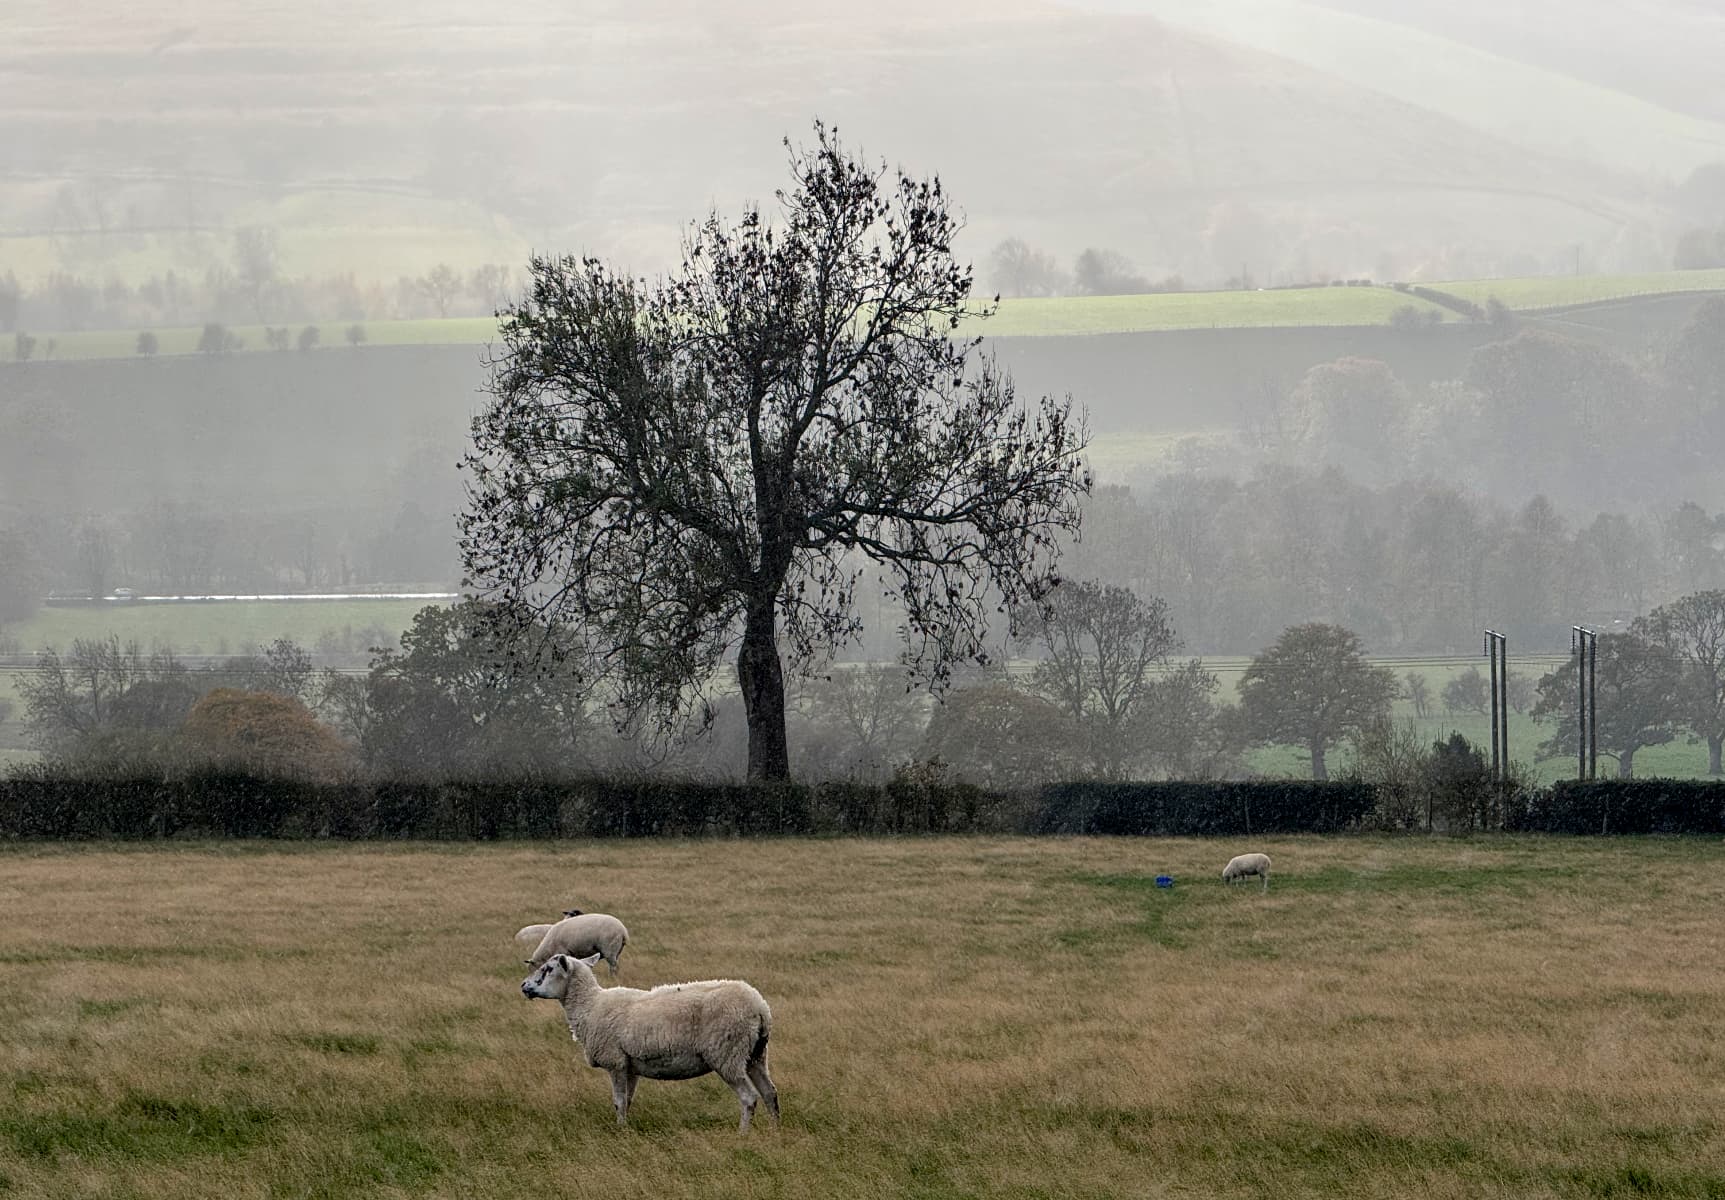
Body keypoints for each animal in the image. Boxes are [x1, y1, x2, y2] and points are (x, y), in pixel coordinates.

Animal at [521, 952, 779, 1132]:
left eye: (548, 969)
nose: (524, 986)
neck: (589, 1005)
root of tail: (760, 1007)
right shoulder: (629, 1065)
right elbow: (627, 1101)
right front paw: (625, 1127)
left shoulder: (615, 1062)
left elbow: (618, 1101)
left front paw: (620, 1131)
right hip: (755, 1055)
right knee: (770, 1093)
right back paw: (775, 1129)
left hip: (727, 1055)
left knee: (749, 1098)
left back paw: (742, 1133)